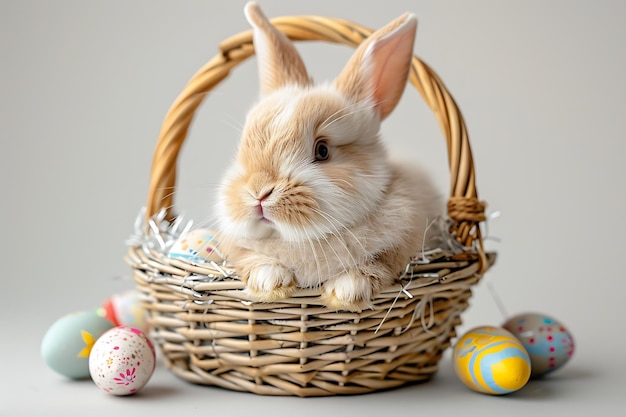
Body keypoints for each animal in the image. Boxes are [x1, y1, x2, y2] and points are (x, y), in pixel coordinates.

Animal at [214, 1, 444, 310]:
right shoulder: (235, 247)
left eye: (322, 151)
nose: (259, 193)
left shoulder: (404, 238)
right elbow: (251, 258)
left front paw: (345, 292)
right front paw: (271, 283)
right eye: (244, 146)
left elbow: (379, 263)